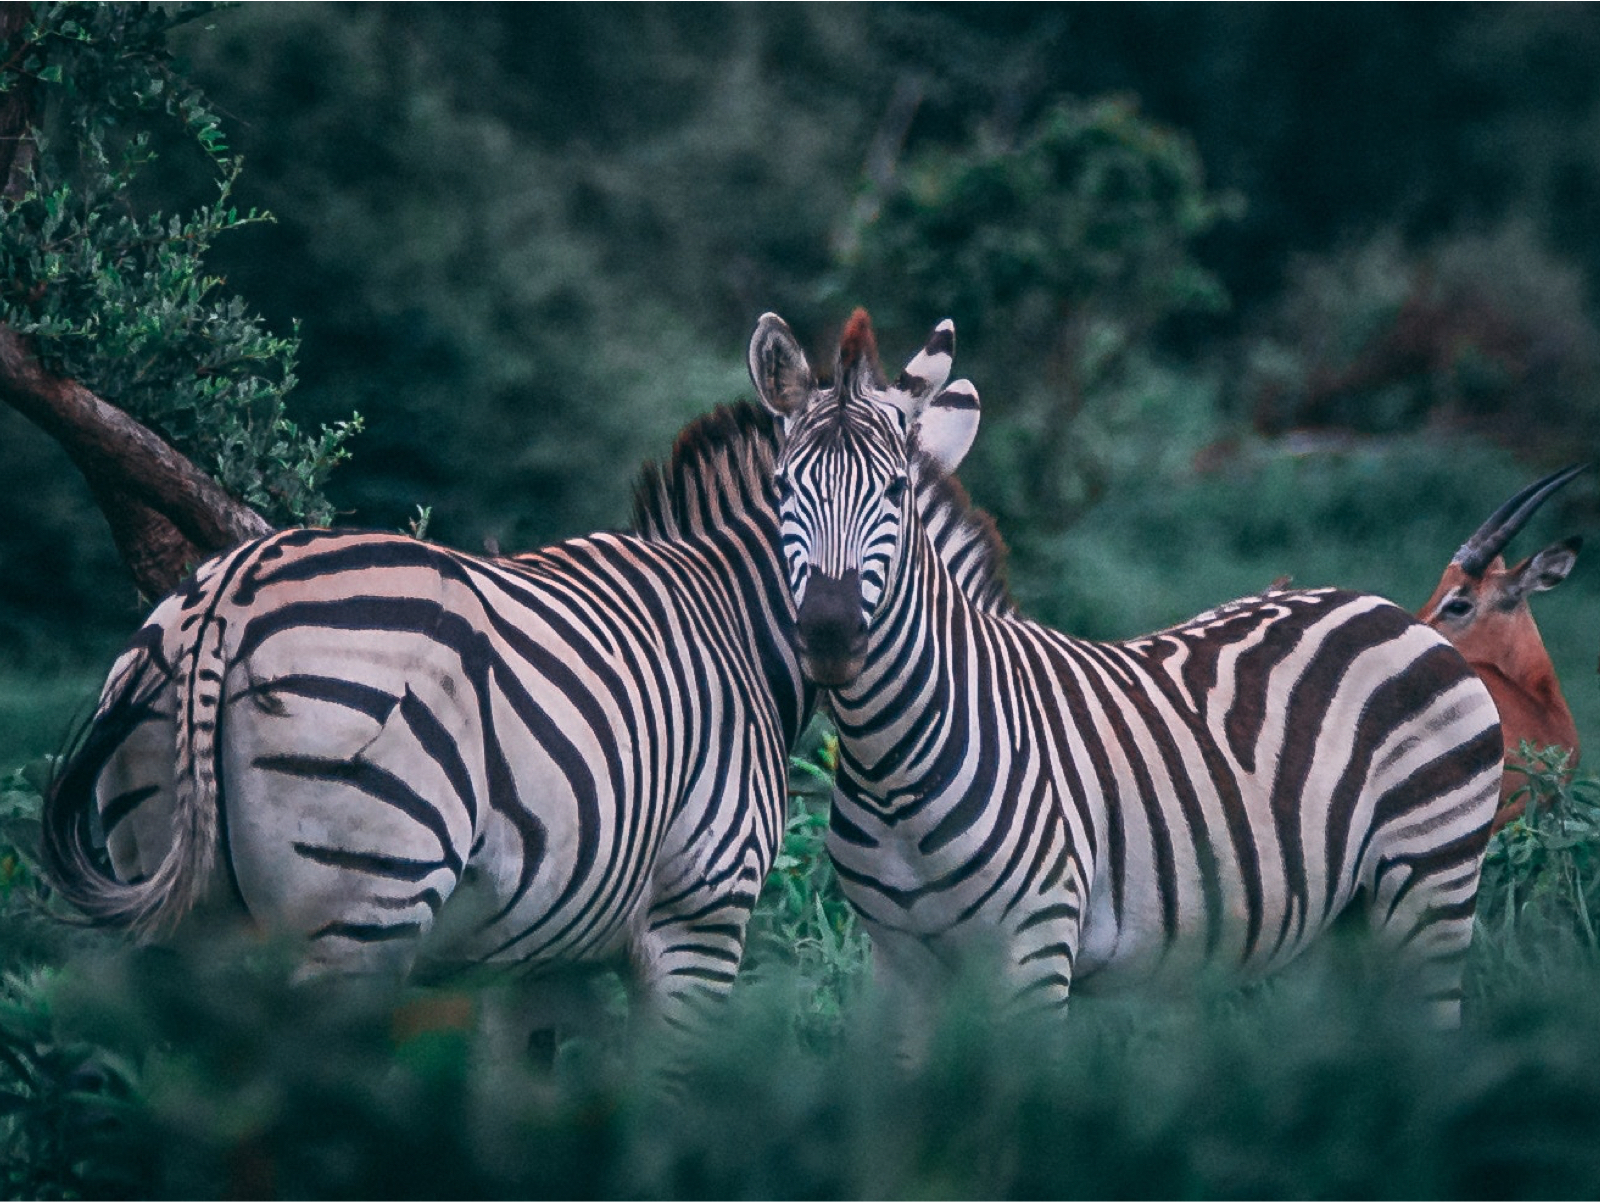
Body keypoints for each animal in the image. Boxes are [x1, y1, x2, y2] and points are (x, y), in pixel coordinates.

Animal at [742, 307, 1504, 1024]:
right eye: (781, 489)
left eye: (896, 491)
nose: (830, 636)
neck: (893, 767)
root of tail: (1390, 610)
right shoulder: (899, 964)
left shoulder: (1036, 948)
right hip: (1334, 926)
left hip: (1431, 885)